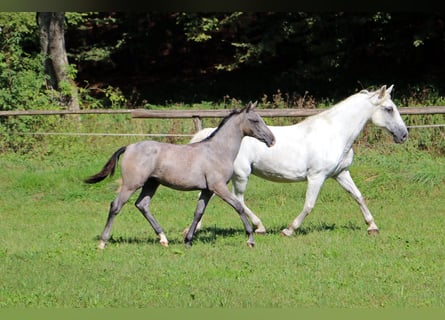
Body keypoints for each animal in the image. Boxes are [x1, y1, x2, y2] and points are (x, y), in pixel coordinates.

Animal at [189, 85, 408, 238]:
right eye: (389, 109)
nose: (404, 135)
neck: (335, 133)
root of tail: (210, 135)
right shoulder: (317, 177)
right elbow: (309, 205)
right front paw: (289, 230)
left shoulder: (341, 174)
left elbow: (358, 196)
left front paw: (372, 227)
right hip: (241, 175)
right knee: (238, 200)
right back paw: (259, 227)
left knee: (208, 197)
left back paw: (194, 229)